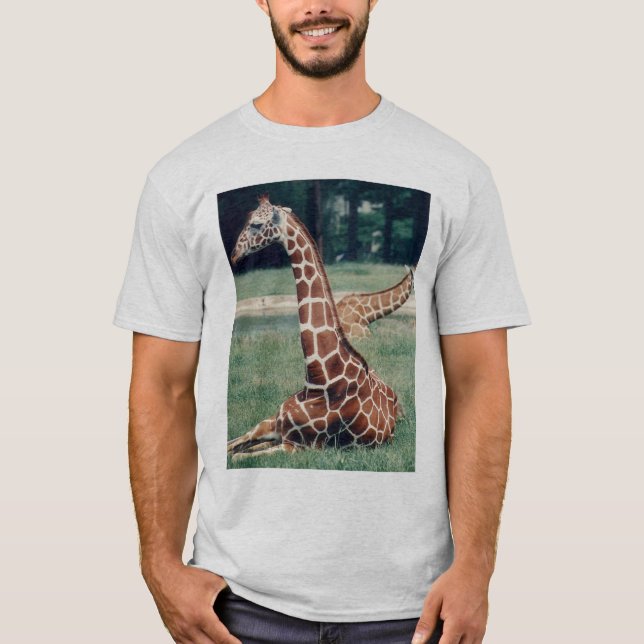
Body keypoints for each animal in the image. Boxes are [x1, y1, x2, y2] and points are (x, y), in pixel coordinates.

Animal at [226, 194, 400, 460]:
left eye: (256, 224)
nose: (235, 255)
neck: (320, 378)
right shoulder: (271, 424)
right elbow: (230, 447)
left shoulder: (298, 446)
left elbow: (236, 455)